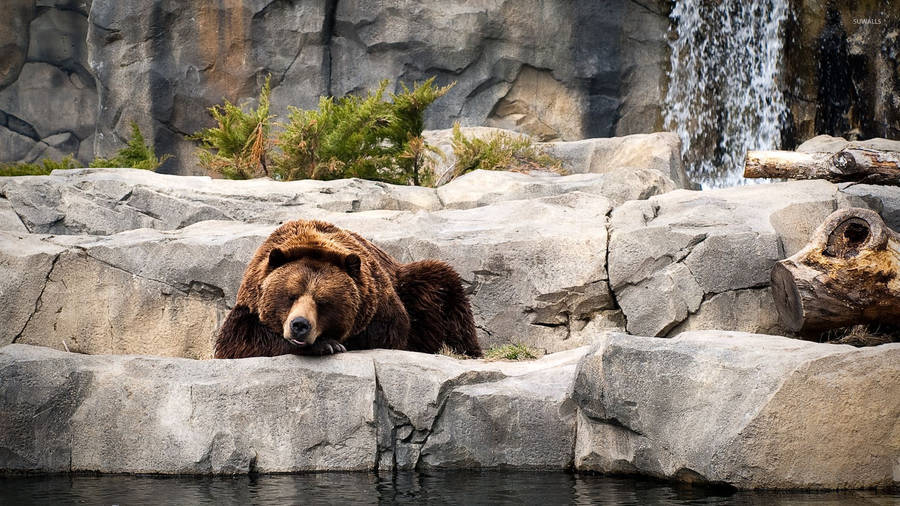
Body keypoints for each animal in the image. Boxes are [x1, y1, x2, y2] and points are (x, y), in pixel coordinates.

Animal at [214, 219, 482, 358]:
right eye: (290, 296)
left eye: (323, 302)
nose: (300, 325)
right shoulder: (249, 302)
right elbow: (238, 340)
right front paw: (326, 345)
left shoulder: (380, 304)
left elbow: (389, 332)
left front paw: (331, 343)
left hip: (413, 283)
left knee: (442, 287)